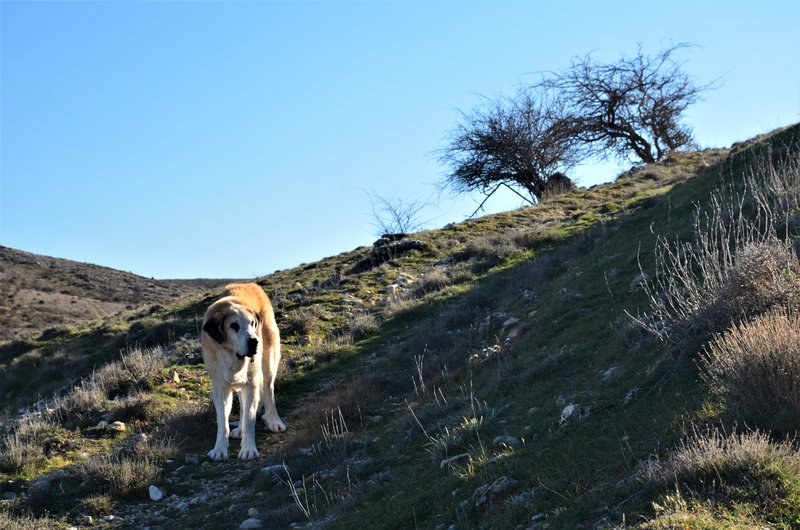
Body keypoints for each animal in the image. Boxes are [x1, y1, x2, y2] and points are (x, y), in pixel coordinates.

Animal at [202, 280, 286, 458]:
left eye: (253, 324)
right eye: (234, 326)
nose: (254, 341)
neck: (232, 355)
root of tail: (250, 283)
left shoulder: (252, 384)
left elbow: (249, 418)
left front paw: (248, 449)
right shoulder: (220, 387)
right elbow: (223, 421)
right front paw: (219, 449)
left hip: (269, 361)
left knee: (269, 390)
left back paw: (274, 420)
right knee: (242, 402)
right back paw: (239, 429)